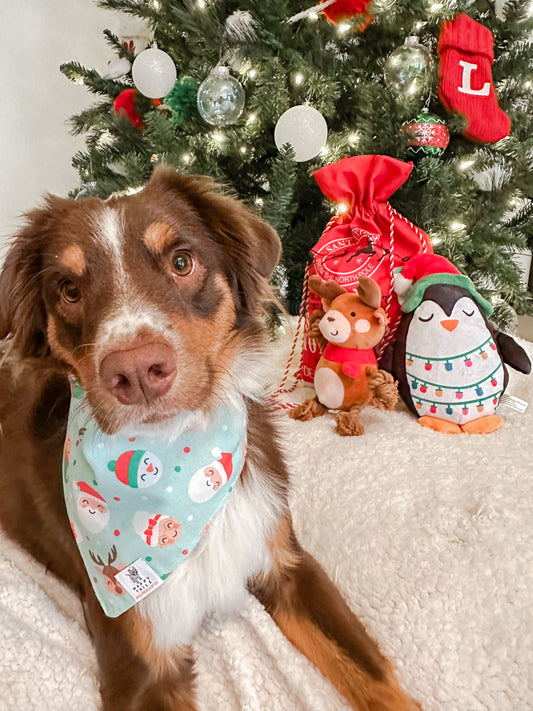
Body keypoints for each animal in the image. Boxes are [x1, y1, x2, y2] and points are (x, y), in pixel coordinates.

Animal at [0, 168, 418, 711]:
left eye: (182, 261)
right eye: (69, 289)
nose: (137, 372)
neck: (176, 462)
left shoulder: (285, 561)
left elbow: (374, 677)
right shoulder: (140, 658)